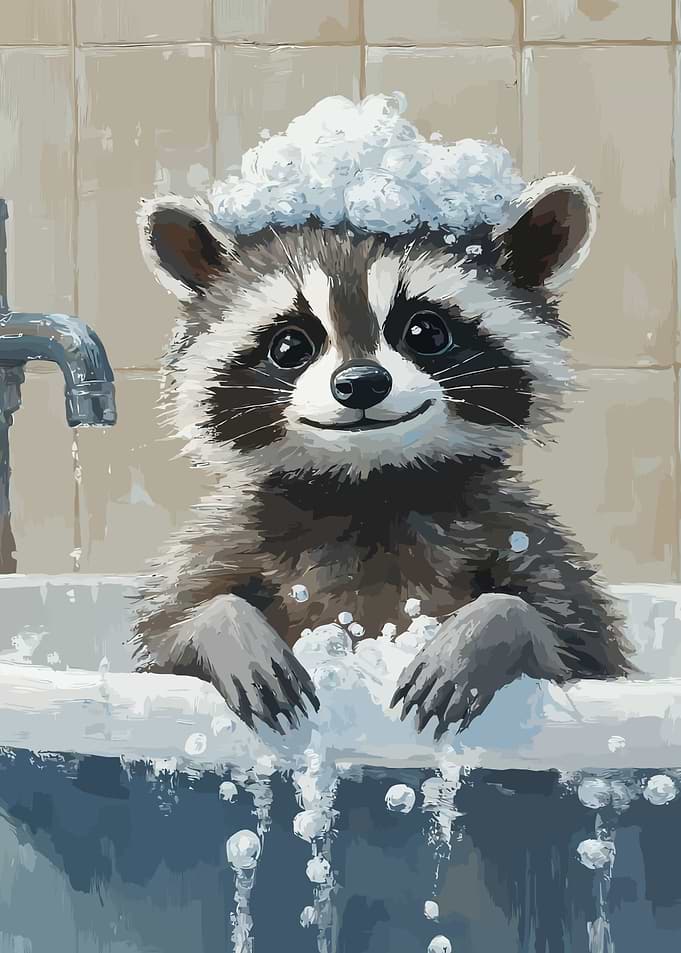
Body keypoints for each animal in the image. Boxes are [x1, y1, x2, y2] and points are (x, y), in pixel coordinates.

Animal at [133, 174, 631, 739]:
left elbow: (573, 646)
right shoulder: (227, 539)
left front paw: (488, 628)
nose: (360, 383)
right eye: (289, 346)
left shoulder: (528, 541)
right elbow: (168, 636)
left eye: (426, 332)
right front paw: (225, 627)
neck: (370, 484)